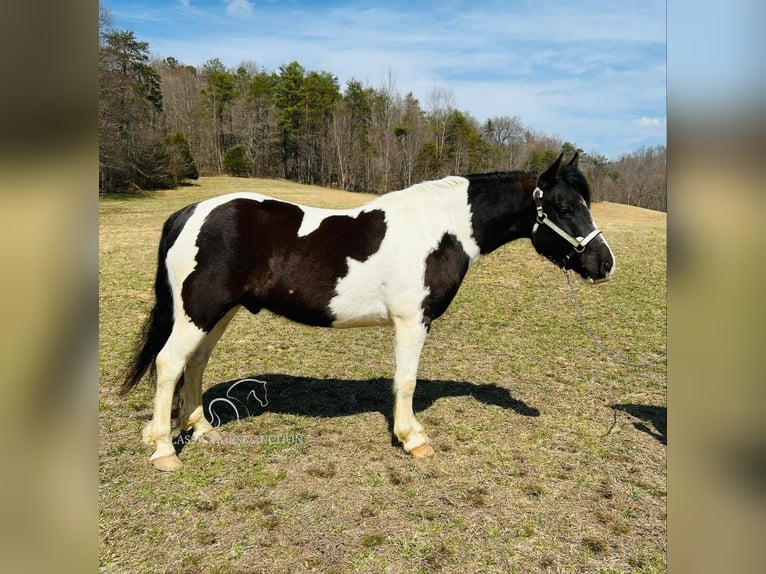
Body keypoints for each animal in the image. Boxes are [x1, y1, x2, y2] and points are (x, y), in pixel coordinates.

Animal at [121, 152, 616, 472]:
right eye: (565, 207)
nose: (604, 264)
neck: (440, 231)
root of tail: (189, 213)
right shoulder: (413, 322)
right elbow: (406, 381)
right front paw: (413, 439)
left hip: (216, 312)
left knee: (196, 363)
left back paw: (203, 430)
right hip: (199, 311)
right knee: (170, 363)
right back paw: (164, 451)